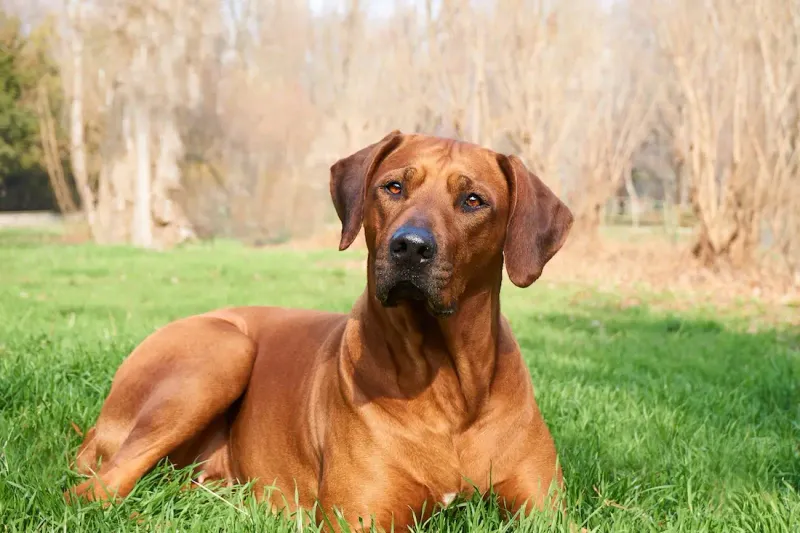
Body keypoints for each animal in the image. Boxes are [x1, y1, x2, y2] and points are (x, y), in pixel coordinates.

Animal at [65, 132, 572, 528]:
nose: (409, 247)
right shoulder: (361, 518)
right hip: (222, 351)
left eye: (473, 201)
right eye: (393, 186)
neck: (449, 385)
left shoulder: (547, 511)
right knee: (93, 493)